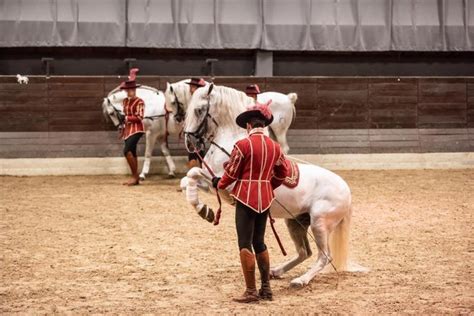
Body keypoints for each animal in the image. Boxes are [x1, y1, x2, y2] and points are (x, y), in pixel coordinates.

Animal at [182, 84, 366, 288]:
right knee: (305, 252)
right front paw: (204, 210)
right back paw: (276, 271)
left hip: (319, 223)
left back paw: (300, 280)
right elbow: (189, 178)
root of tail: (346, 190)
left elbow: (193, 173)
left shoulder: (226, 186)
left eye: (199, 110)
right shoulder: (212, 184)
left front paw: (203, 210)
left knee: (324, 257)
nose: (189, 142)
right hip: (295, 222)